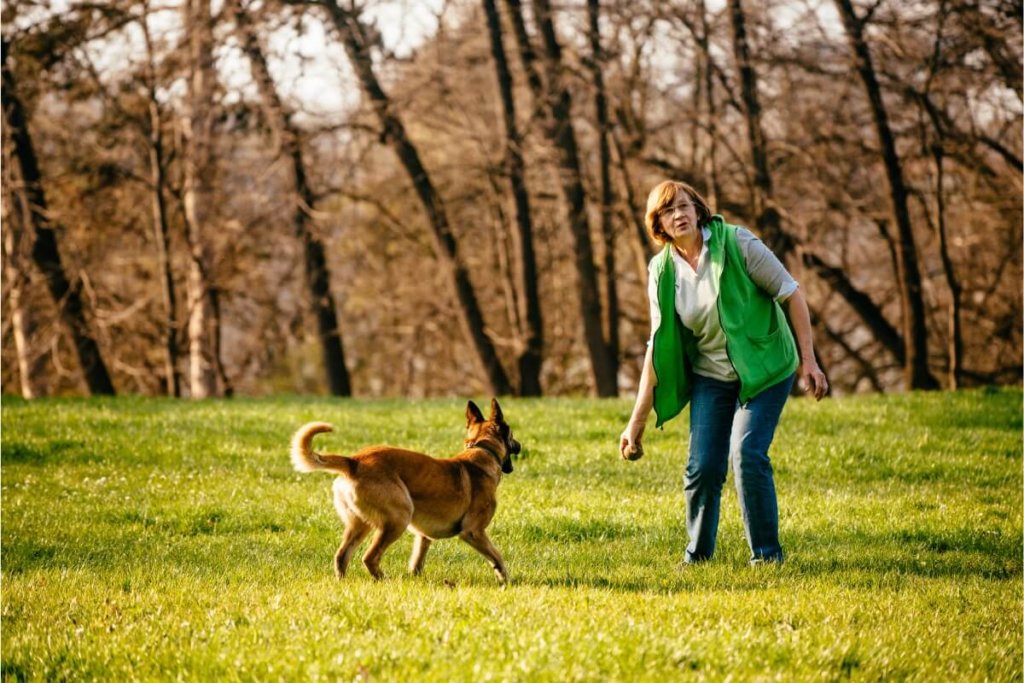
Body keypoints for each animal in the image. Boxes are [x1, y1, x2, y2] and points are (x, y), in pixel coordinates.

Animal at [294, 401, 520, 581]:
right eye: (512, 435)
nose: (520, 446)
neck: (482, 450)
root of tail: (354, 462)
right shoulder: (473, 532)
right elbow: (497, 556)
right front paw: (506, 580)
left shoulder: (423, 537)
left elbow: (417, 562)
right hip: (398, 518)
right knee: (370, 557)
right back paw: (385, 581)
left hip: (359, 524)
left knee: (342, 556)